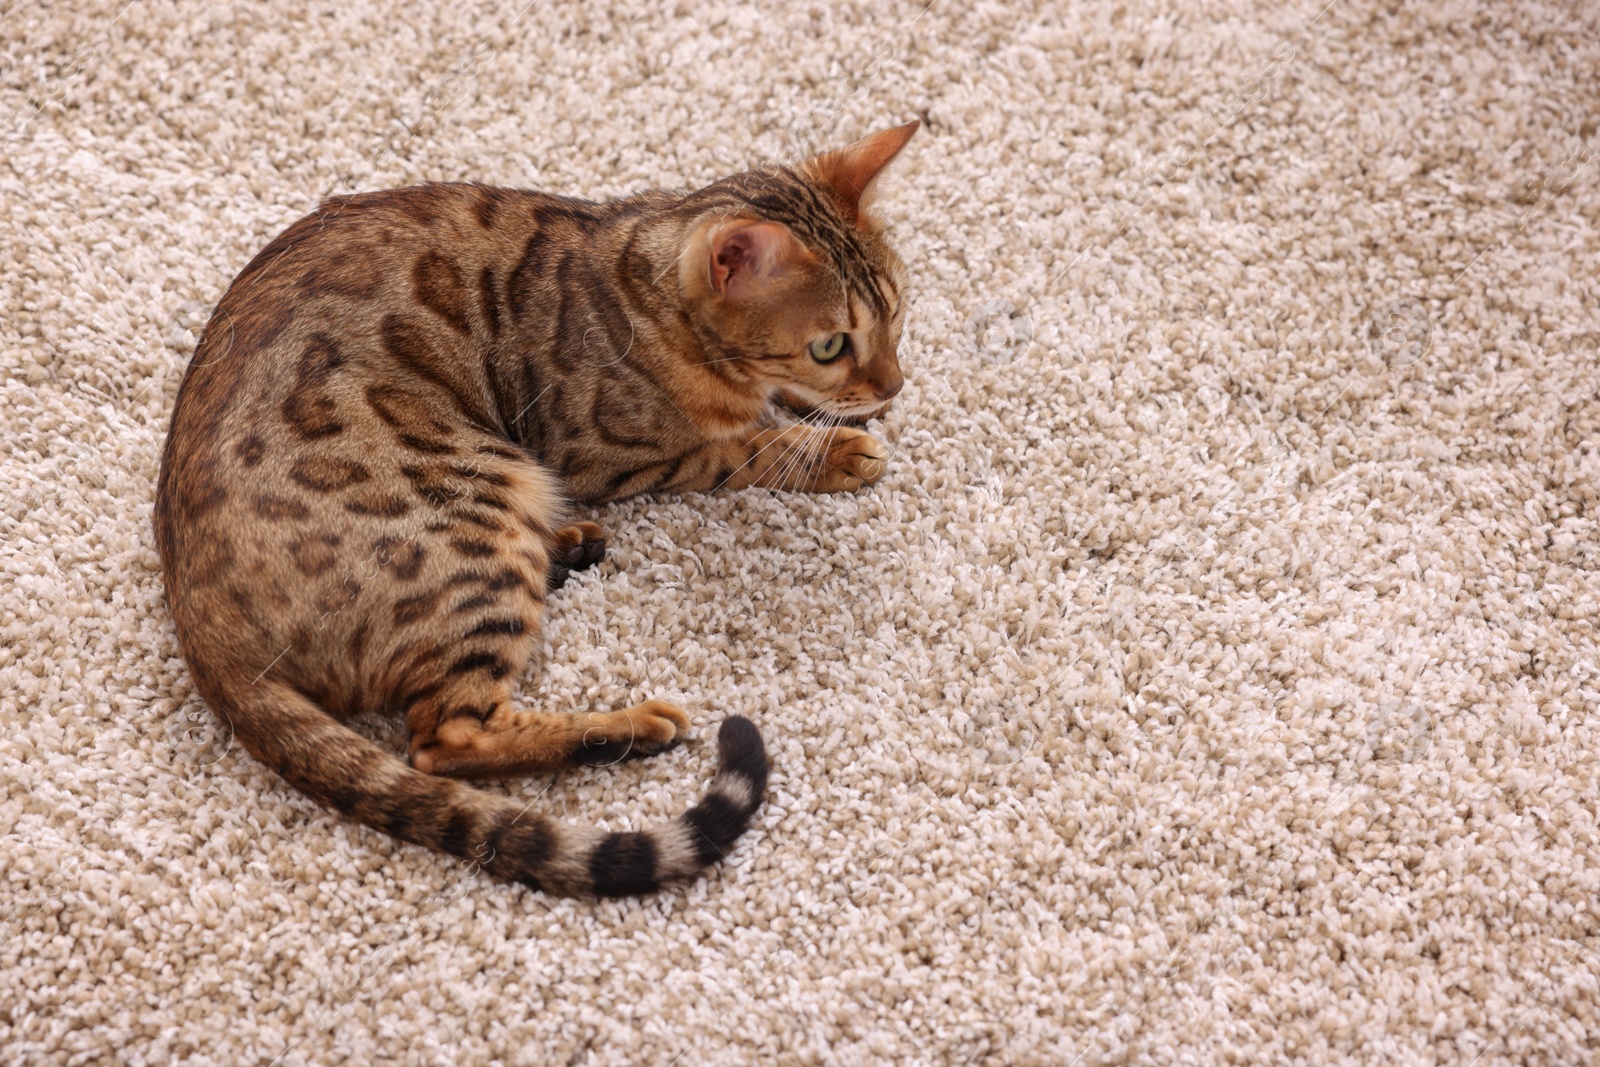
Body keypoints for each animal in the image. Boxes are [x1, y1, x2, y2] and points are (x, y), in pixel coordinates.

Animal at [159, 120, 928, 895]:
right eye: (828, 344)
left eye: (896, 312)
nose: (895, 383)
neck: (641, 291)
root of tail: (200, 623)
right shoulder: (608, 451)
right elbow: (742, 447)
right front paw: (832, 447)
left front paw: (837, 413)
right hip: (478, 513)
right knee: (444, 739)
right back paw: (627, 726)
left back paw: (571, 547)